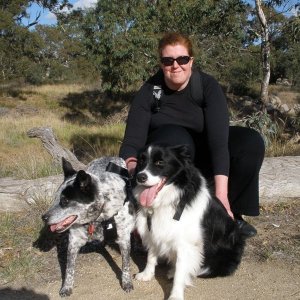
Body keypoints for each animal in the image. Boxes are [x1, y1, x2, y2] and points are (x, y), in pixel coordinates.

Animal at [41, 157, 135, 298]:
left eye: (65, 201)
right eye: (55, 198)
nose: (44, 218)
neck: (99, 217)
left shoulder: (124, 239)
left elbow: (126, 264)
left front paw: (126, 282)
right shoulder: (74, 242)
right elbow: (69, 269)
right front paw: (66, 287)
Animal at [134, 144, 246, 298]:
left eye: (160, 162)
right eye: (141, 161)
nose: (140, 177)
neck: (172, 197)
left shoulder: (185, 243)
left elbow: (181, 272)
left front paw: (175, 295)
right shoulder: (153, 230)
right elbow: (151, 256)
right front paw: (147, 274)